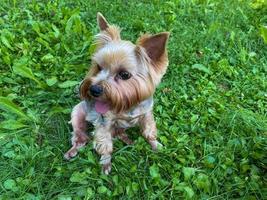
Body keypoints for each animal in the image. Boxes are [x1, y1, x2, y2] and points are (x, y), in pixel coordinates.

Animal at [64, 12, 170, 175]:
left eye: (124, 74)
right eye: (98, 67)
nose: (93, 90)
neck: (127, 105)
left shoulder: (146, 113)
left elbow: (149, 131)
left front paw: (156, 145)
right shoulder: (104, 122)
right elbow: (104, 143)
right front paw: (105, 163)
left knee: (119, 132)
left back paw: (127, 140)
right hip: (77, 113)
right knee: (80, 136)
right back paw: (72, 150)